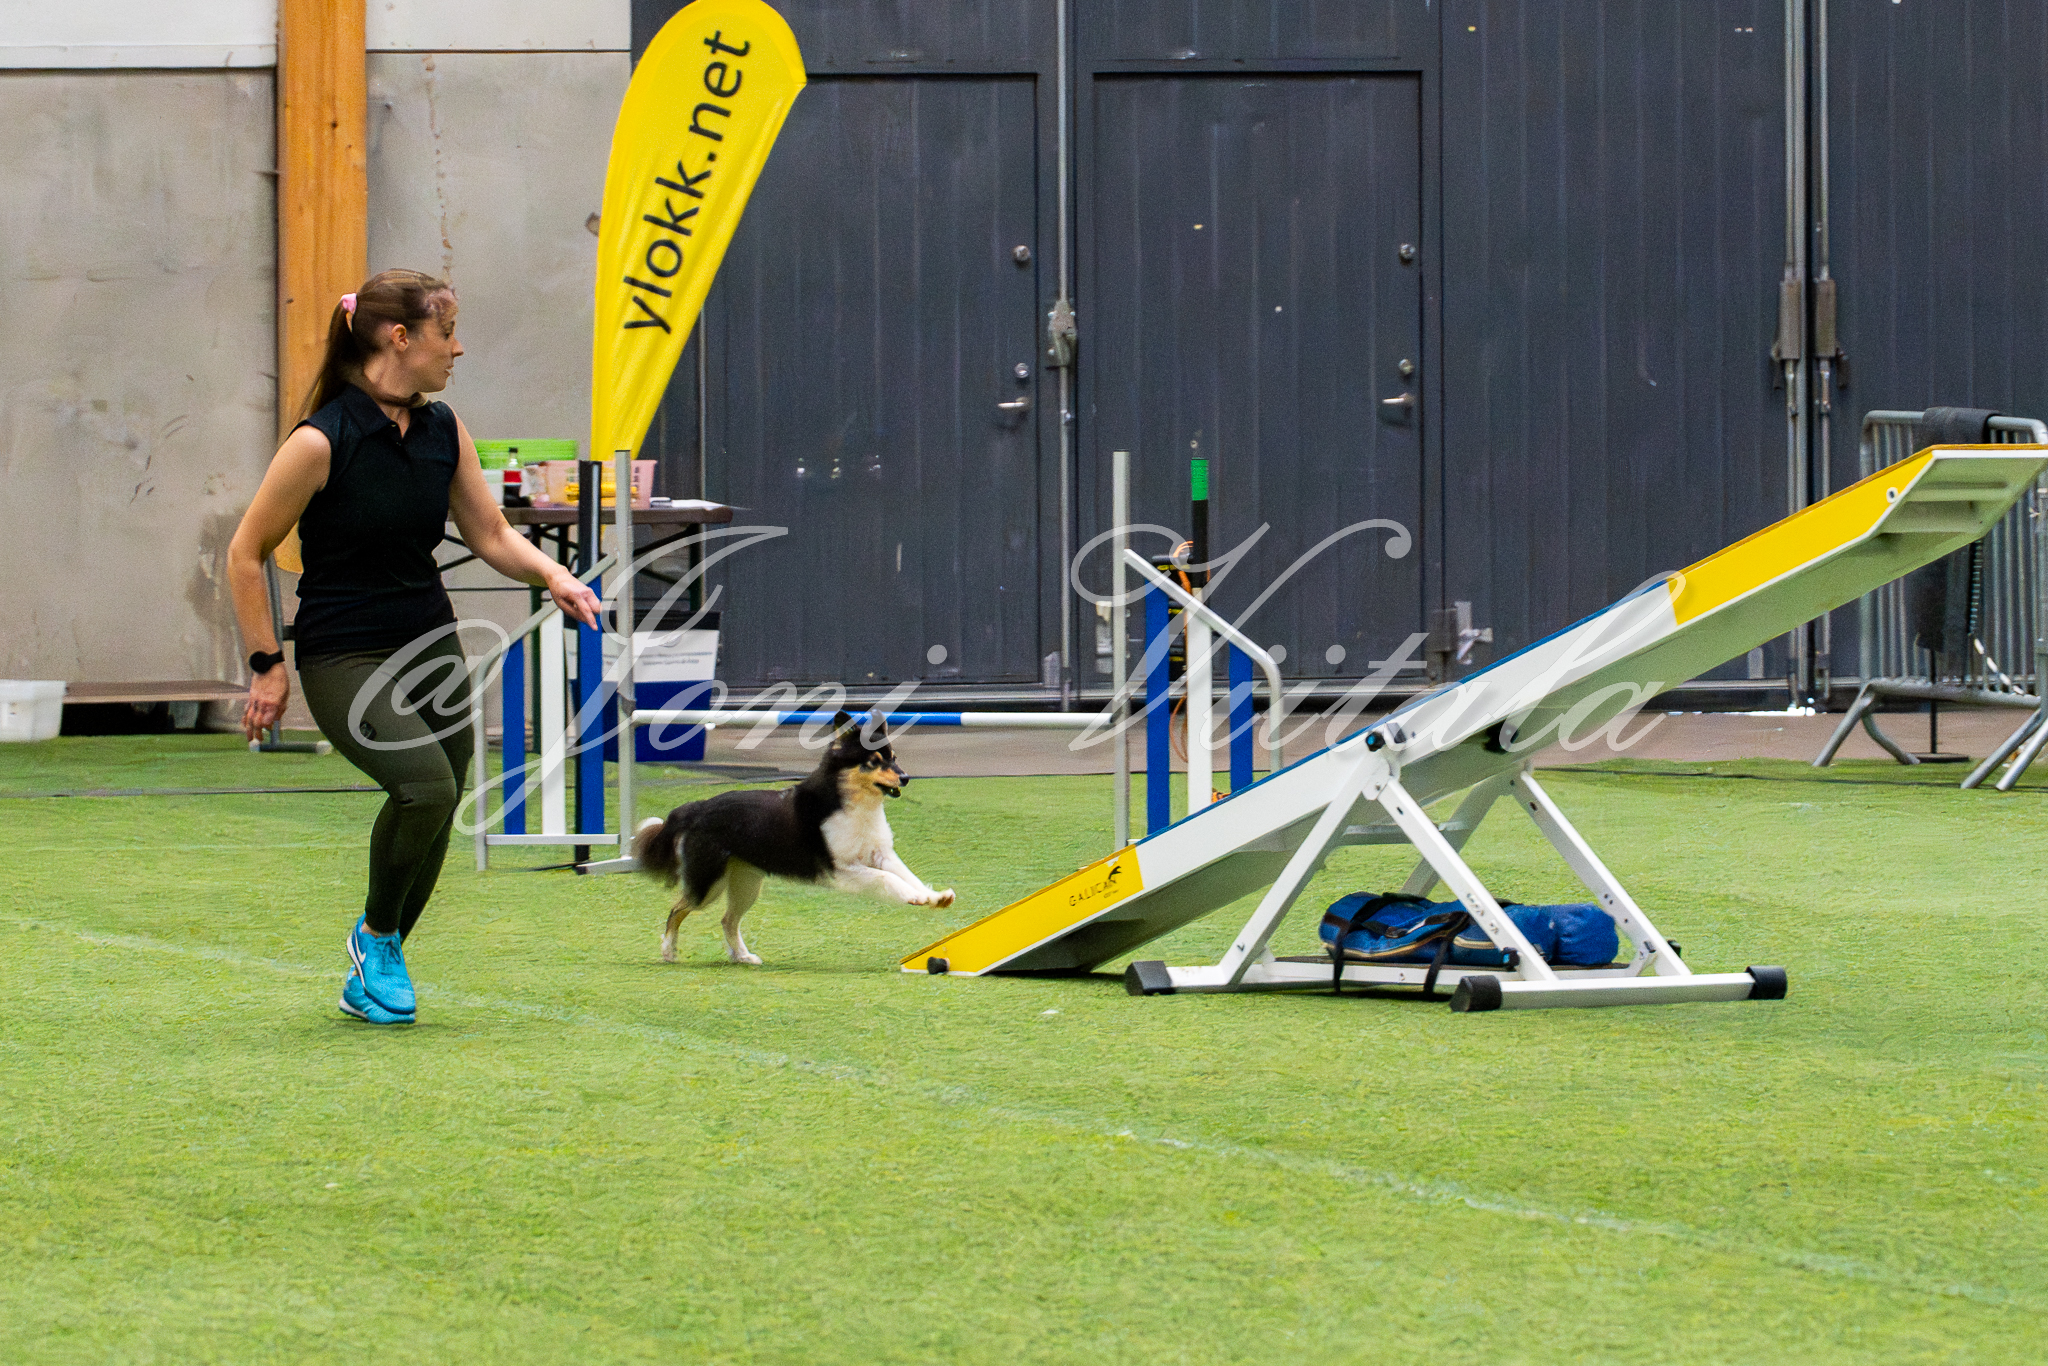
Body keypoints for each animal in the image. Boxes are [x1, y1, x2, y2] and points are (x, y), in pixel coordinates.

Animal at [633, 710, 955, 965]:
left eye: (894, 758)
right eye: (874, 761)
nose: (906, 778)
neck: (851, 804)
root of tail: (697, 808)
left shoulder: (880, 853)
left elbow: (907, 874)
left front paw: (934, 897)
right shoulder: (840, 869)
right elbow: (886, 879)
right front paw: (915, 898)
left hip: (745, 883)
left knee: (727, 919)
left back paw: (742, 956)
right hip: (708, 884)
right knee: (677, 909)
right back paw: (669, 951)